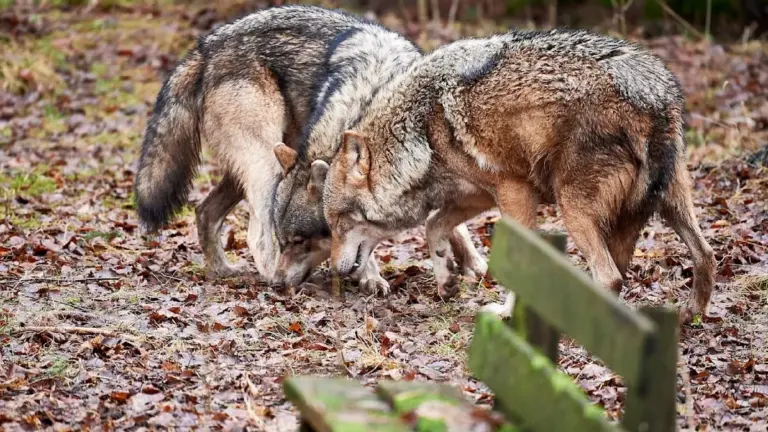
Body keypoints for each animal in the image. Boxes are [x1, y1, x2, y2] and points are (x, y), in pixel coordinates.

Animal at [132, 5, 481, 289]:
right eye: (289, 241)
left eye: (301, 241)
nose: (278, 283)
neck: (373, 97)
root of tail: (206, 46)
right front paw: (369, 276)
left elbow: (451, 221)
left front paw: (473, 263)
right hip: (264, 165)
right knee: (254, 235)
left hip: (261, 164)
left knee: (204, 211)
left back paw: (225, 271)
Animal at [317, 29, 717, 323]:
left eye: (338, 223)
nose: (336, 270)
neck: (420, 130)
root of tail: (653, 93)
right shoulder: (477, 195)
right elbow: (433, 226)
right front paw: (446, 279)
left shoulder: (513, 192)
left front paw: (506, 312)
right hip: (670, 205)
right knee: (705, 255)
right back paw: (691, 316)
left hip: (573, 208)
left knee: (610, 276)